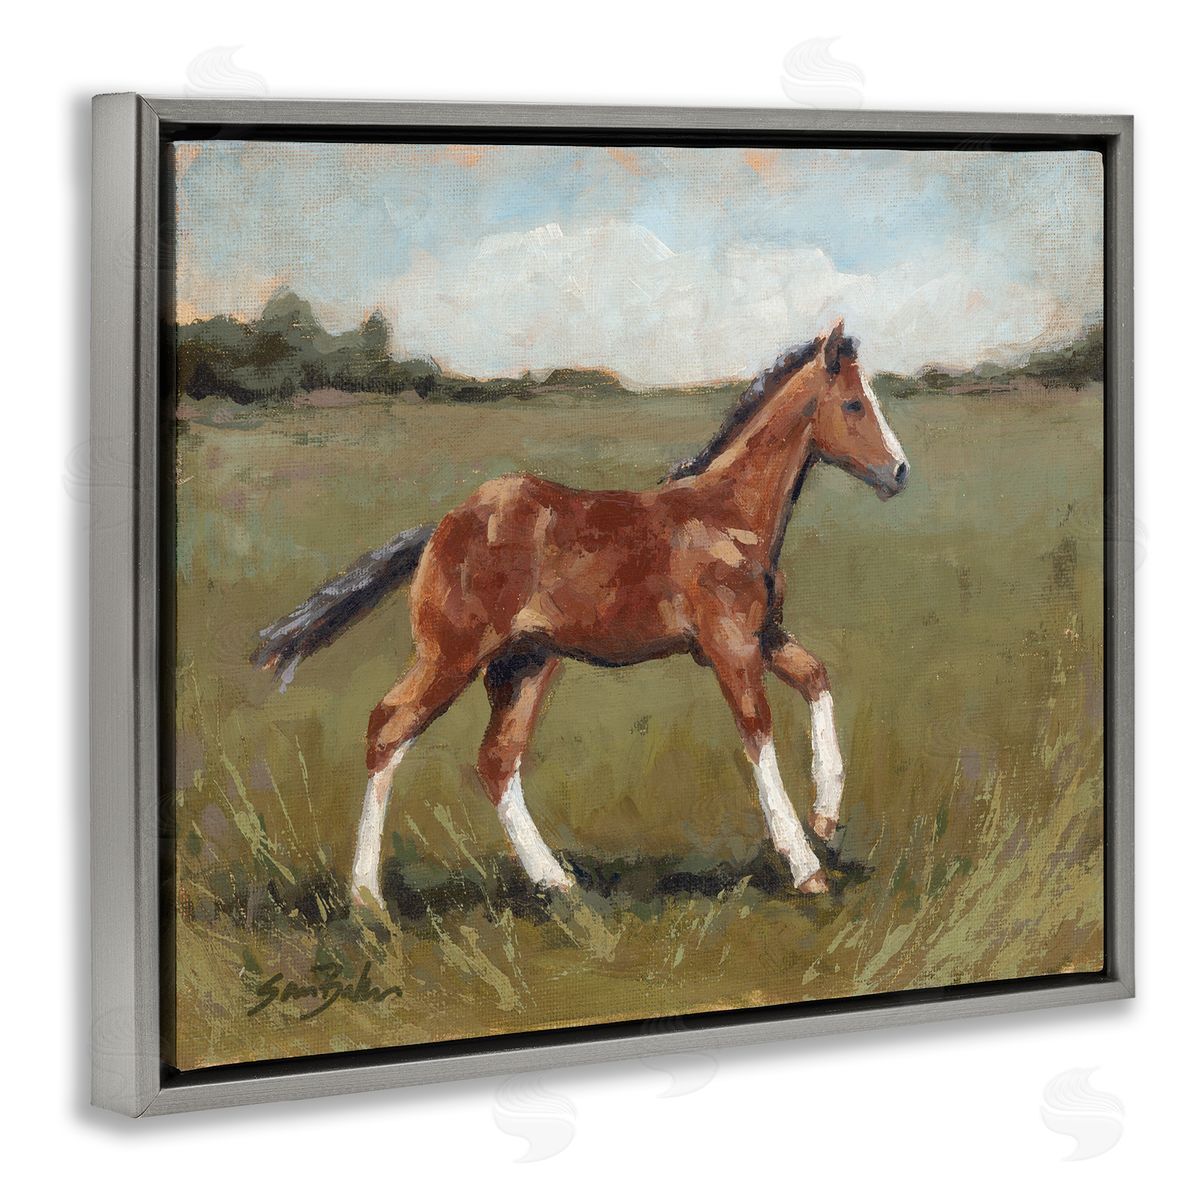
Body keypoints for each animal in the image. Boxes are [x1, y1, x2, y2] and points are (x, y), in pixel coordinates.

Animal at [252, 320, 909, 907]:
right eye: (854, 404)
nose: (900, 473)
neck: (730, 518)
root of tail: (441, 525)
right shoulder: (730, 647)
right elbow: (759, 735)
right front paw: (806, 868)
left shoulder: (764, 636)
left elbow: (818, 679)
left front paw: (827, 819)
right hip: (453, 655)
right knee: (388, 728)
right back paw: (367, 897)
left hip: (525, 664)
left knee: (496, 761)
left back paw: (556, 883)